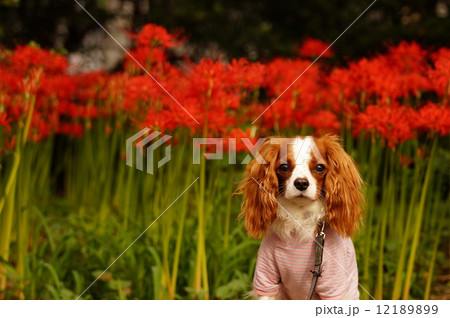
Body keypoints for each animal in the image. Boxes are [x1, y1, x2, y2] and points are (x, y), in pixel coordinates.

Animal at [237, 135, 364, 300]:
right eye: (284, 167)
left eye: (319, 168)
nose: (301, 183)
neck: (300, 216)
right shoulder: (266, 280)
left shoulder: (333, 286)